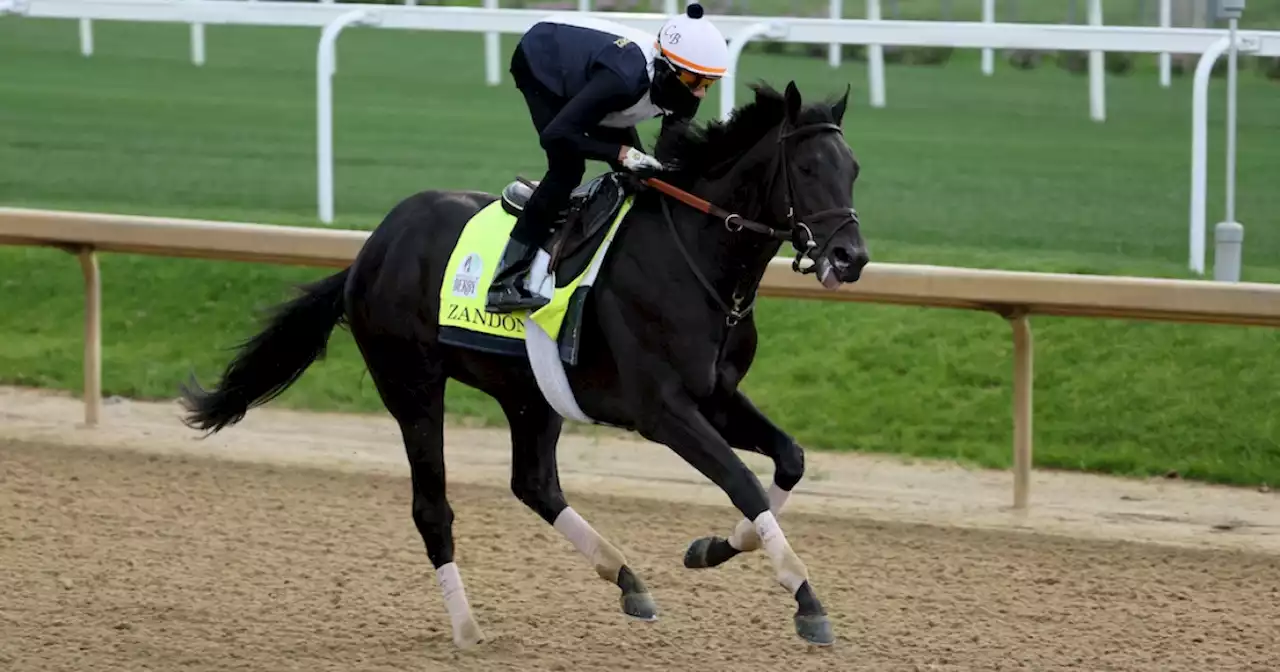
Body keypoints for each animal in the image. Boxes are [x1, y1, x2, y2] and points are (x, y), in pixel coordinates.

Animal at [180, 80, 870, 650]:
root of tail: (370, 250)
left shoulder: (717, 396)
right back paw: (467, 629)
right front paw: (807, 600)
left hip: (530, 395)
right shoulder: (662, 411)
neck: (693, 263)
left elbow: (789, 460)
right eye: (808, 166)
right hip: (412, 385)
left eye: (854, 169)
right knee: (433, 508)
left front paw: (711, 549)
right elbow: (742, 480)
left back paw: (626, 579)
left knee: (534, 484)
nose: (852, 257)